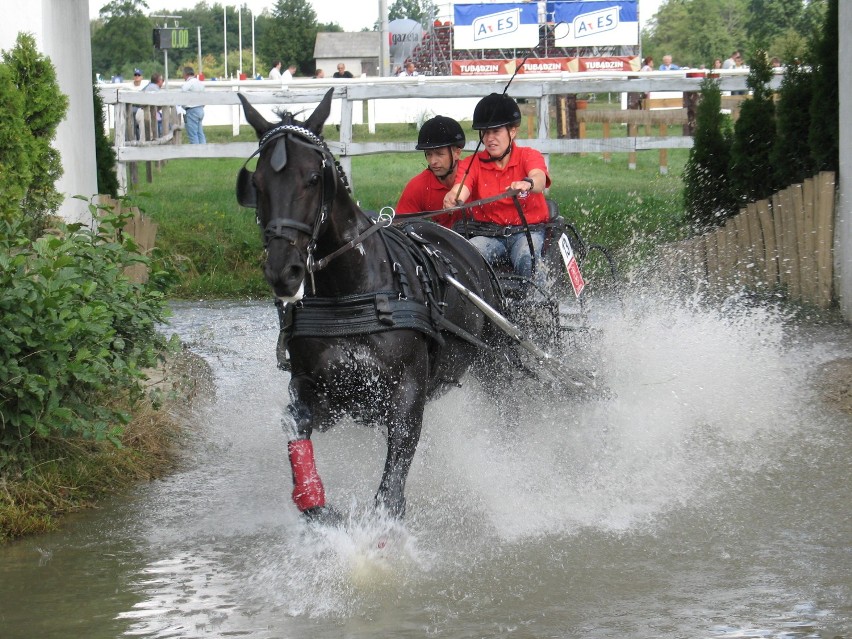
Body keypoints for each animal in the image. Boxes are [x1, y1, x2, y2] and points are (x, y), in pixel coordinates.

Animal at [236, 89, 506, 520]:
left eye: (313, 178)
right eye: (257, 183)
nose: (283, 270)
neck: (349, 296)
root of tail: (462, 242)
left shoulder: (407, 393)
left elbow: (389, 496)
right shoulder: (320, 389)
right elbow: (296, 434)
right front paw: (321, 509)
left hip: (494, 362)